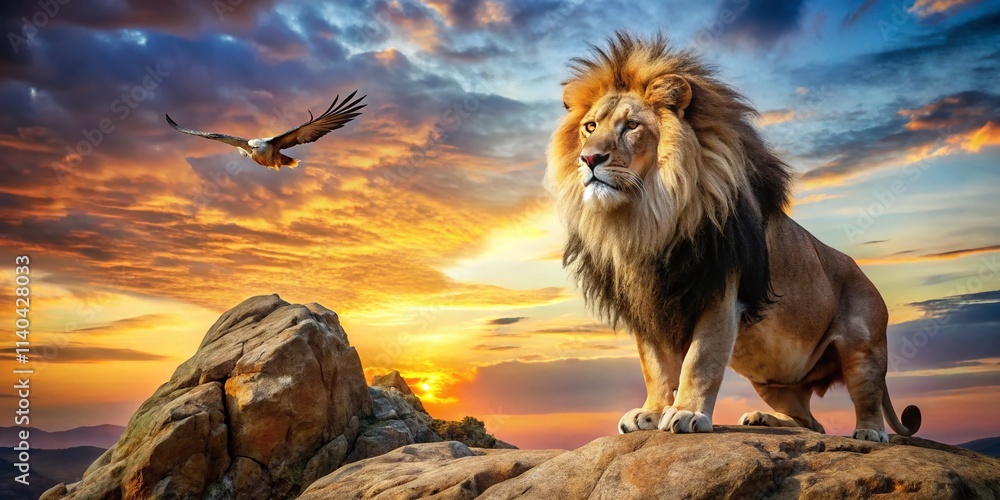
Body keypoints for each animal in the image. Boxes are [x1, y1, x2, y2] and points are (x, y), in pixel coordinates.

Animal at [547, 32, 921, 442]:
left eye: (631, 126)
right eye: (590, 127)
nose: (589, 159)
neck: (647, 215)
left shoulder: (719, 291)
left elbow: (700, 360)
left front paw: (687, 413)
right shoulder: (646, 301)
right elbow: (655, 367)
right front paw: (651, 412)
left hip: (862, 346)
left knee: (864, 394)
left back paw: (869, 433)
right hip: (772, 378)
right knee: (813, 423)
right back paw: (763, 418)